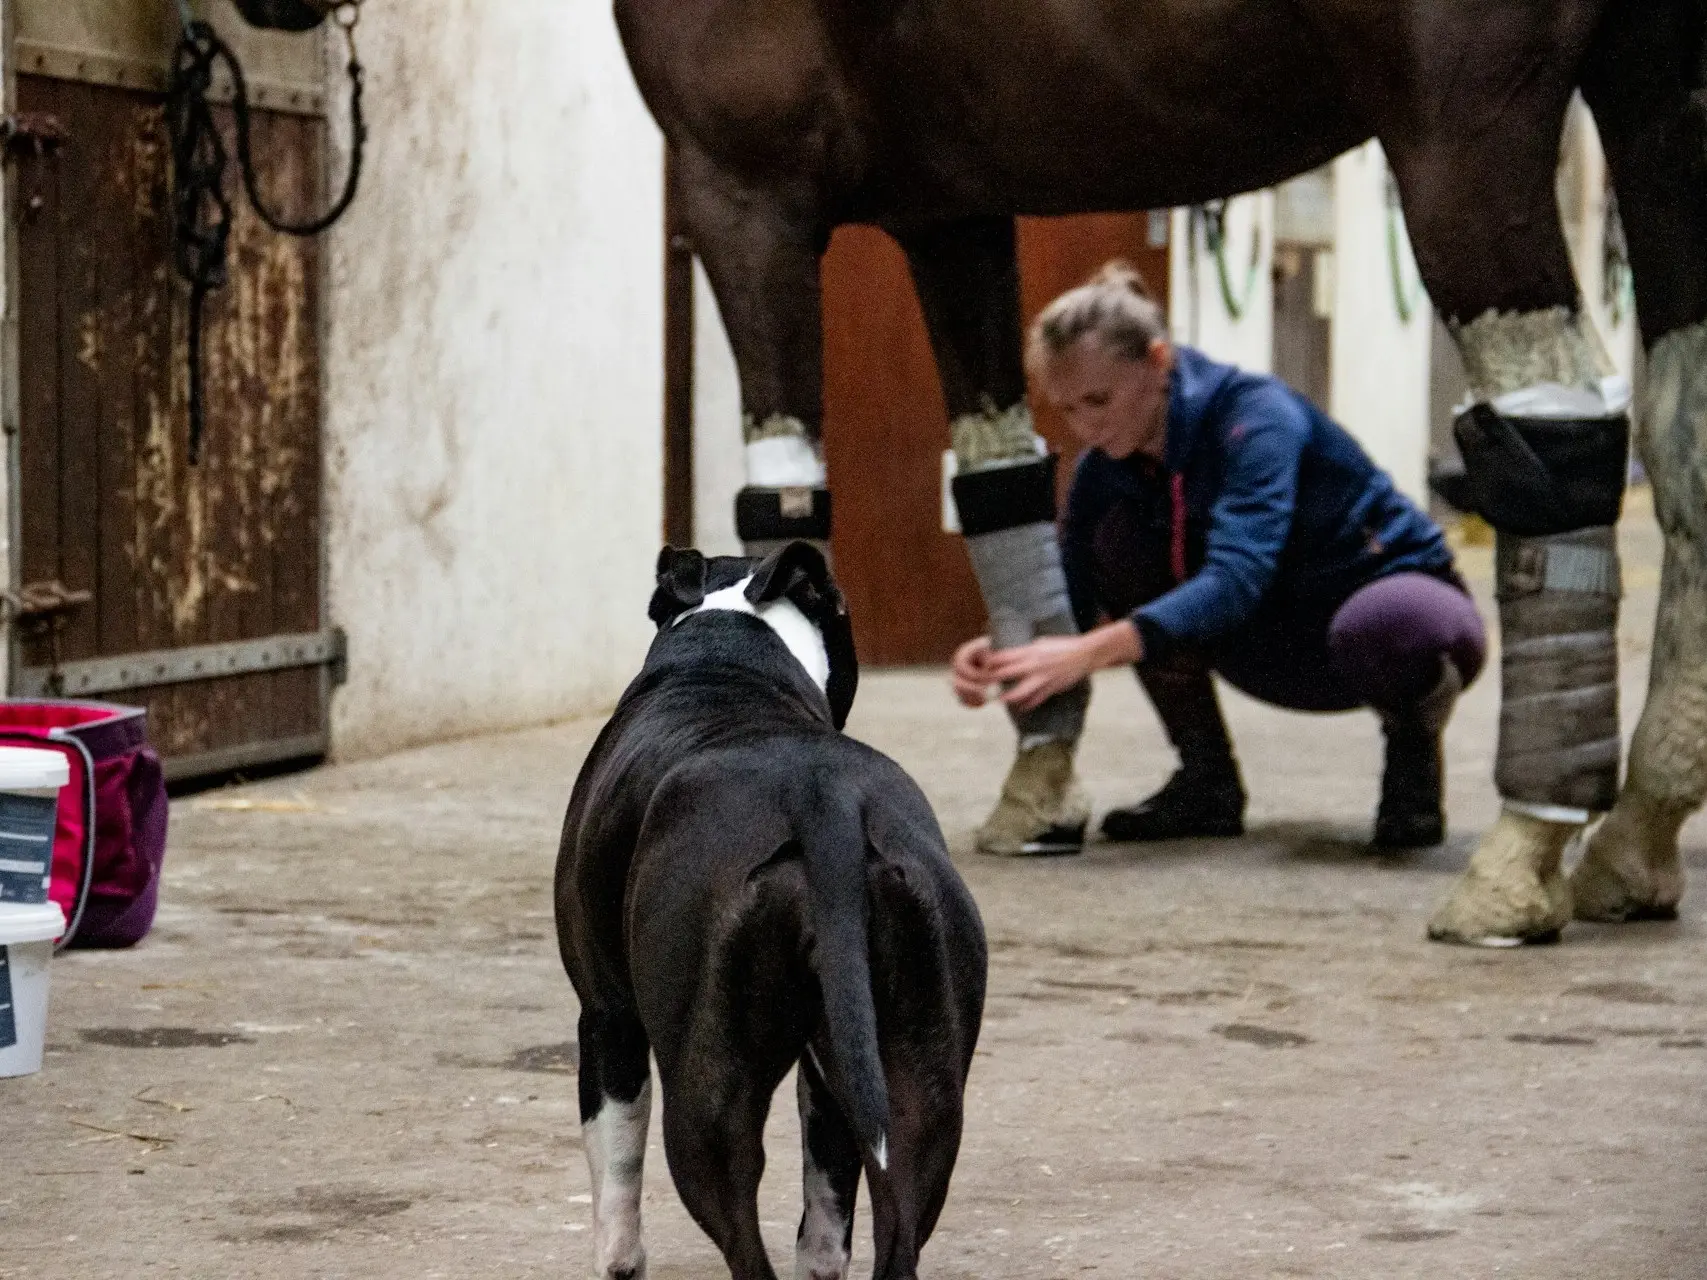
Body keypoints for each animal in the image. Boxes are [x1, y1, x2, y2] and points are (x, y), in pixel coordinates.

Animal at [559, 542, 990, 1280]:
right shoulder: (831, 1070)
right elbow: (827, 1196)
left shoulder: (608, 1018)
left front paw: (620, 1259)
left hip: (706, 1100)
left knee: (740, 1235)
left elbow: (616, 1173)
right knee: (891, 1227)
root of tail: (824, 803)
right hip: (918, 1088)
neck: (727, 652)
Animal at [600, 2, 1707, 1276]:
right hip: (1656, 101)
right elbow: (1000, 477)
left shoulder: (745, 181)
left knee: (1562, 434)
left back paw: (1525, 853)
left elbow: (781, 501)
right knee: (1685, 439)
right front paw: (1041, 788)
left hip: (1467, 115)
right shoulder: (949, 203)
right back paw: (1636, 833)